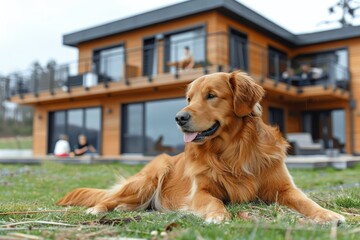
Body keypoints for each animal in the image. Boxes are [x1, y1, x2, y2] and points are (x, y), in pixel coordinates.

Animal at [57, 71, 344, 223]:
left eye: (211, 95)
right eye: (189, 98)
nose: (179, 118)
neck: (233, 151)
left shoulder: (284, 188)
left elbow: (306, 201)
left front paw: (328, 215)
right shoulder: (201, 191)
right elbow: (213, 201)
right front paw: (218, 216)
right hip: (150, 175)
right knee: (109, 198)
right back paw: (100, 208)